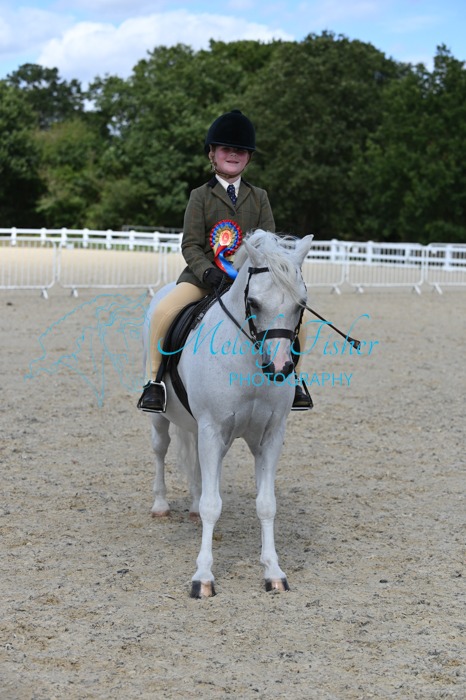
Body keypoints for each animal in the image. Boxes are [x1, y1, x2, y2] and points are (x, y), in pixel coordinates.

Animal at [142, 230, 314, 597]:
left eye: (300, 305)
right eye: (255, 304)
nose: (280, 368)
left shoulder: (270, 435)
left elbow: (266, 504)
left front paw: (273, 572)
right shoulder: (213, 430)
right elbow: (213, 505)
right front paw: (203, 578)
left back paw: (191, 506)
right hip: (160, 418)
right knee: (161, 450)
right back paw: (161, 505)